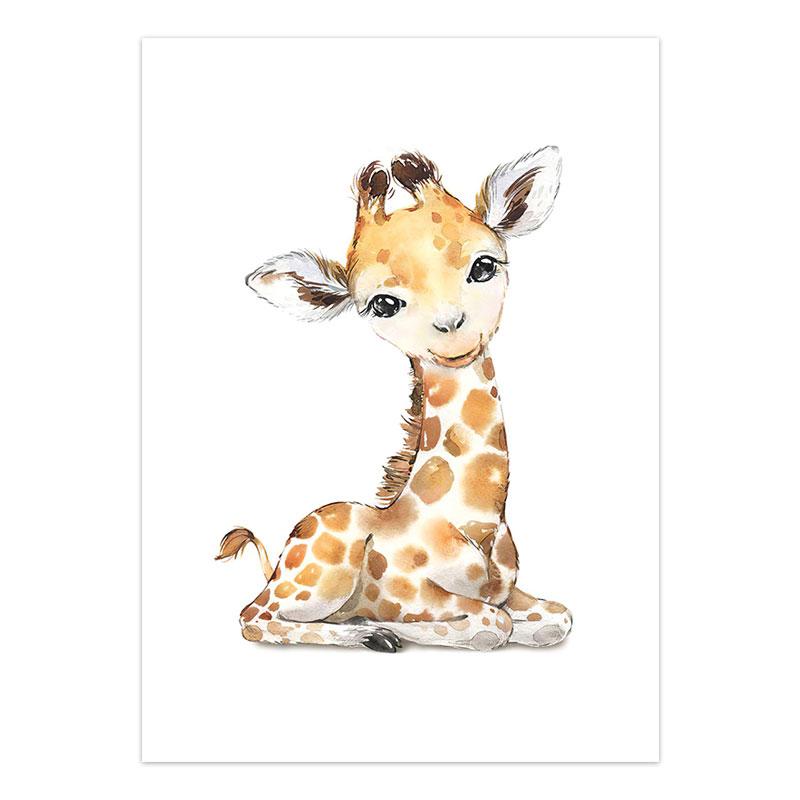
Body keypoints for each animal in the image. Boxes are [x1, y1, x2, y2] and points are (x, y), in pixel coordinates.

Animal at [216, 149, 572, 652]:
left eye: (484, 265)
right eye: (383, 303)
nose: (452, 328)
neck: (476, 523)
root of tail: (281, 560)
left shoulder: (511, 591)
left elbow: (556, 619)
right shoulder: (411, 592)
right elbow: (489, 626)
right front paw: (387, 627)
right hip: (318, 581)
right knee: (254, 616)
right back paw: (369, 633)